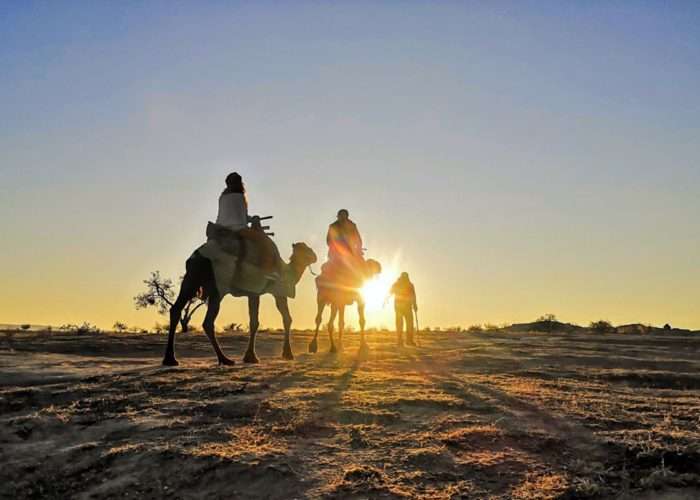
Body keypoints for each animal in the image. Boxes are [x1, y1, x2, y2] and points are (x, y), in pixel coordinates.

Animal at [161, 243, 318, 368]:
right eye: (307, 250)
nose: (315, 257)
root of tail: (196, 257)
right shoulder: (271, 290)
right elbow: (281, 319)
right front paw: (285, 354)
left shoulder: (255, 292)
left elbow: (258, 320)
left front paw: (252, 356)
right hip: (217, 285)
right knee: (208, 321)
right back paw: (224, 359)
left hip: (191, 279)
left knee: (176, 309)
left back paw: (170, 359)